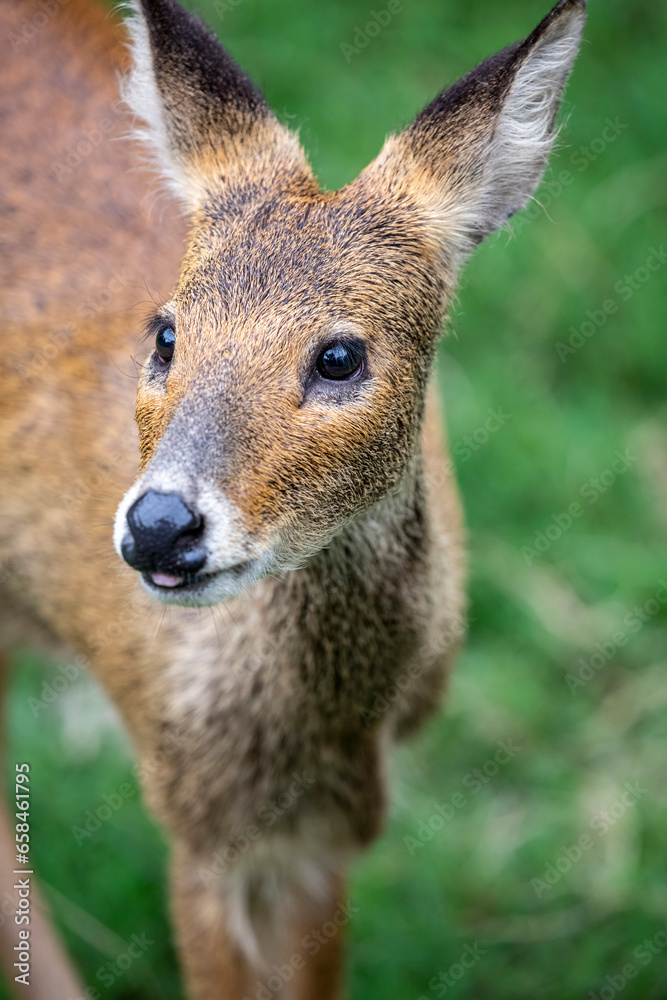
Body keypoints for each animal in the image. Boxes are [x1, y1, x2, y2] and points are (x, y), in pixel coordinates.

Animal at [0, 0, 584, 996]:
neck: (319, 735)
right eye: (166, 333)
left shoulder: (324, 840)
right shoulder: (198, 830)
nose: (160, 527)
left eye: (340, 355)